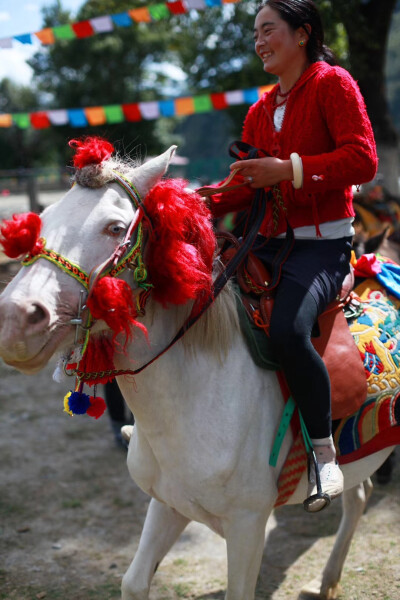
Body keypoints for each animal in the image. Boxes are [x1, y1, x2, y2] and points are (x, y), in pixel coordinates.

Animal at [0, 144, 394, 600]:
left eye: (115, 228)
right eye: (42, 221)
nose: (15, 320)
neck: (194, 398)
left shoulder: (247, 525)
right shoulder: (168, 503)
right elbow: (134, 582)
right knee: (360, 493)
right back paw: (328, 579)